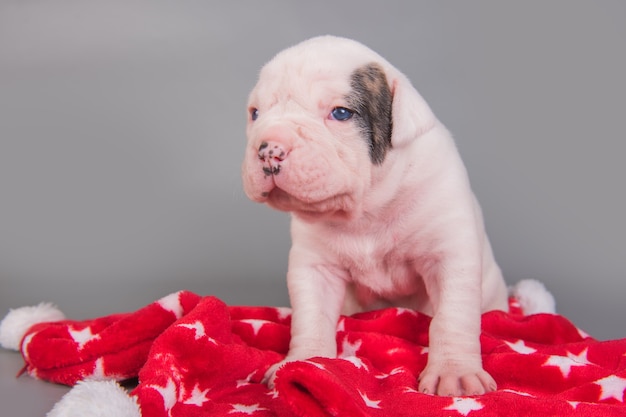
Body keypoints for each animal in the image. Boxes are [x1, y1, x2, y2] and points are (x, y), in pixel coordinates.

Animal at [239, 36, 508, 396]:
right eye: (255, 113)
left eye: (341, 113)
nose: (269, 149)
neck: (367, 210)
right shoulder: (314, 267)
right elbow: (311, 316)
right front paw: (304, 362)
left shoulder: (448, 254)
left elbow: (452, 317)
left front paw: (455, 373)